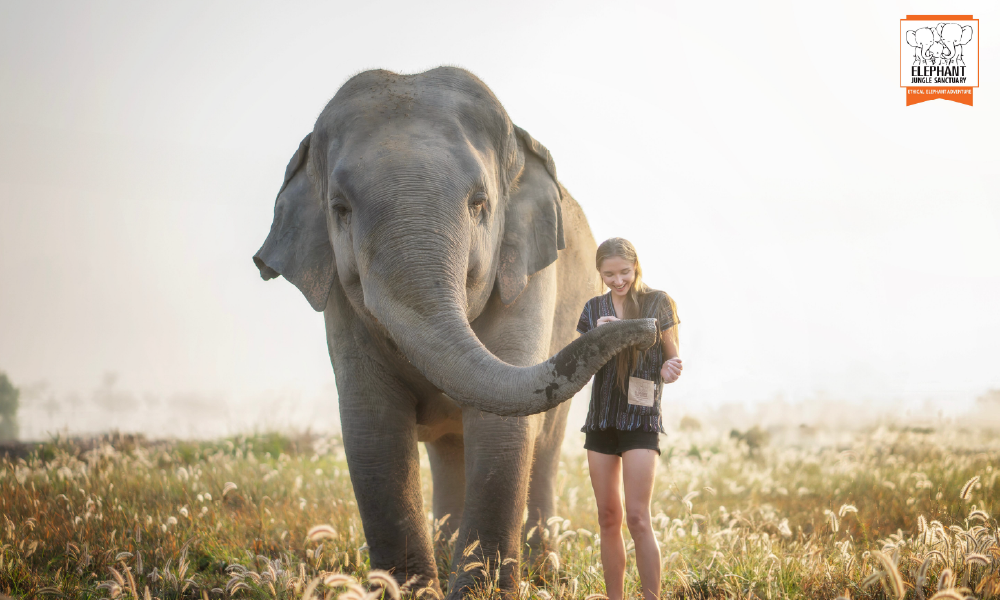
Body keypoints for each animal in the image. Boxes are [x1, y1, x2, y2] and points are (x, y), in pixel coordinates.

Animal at [253, 67, 658, 598]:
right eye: (339, 209)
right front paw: (408, 591)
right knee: (447, 451)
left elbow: (502, 429)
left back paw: (543, 571)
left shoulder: (527, 272)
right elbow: (371, 426)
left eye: (479, 203)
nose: (649, 327)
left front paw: (479, 591)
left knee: (544, 445)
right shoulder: (339, 298)